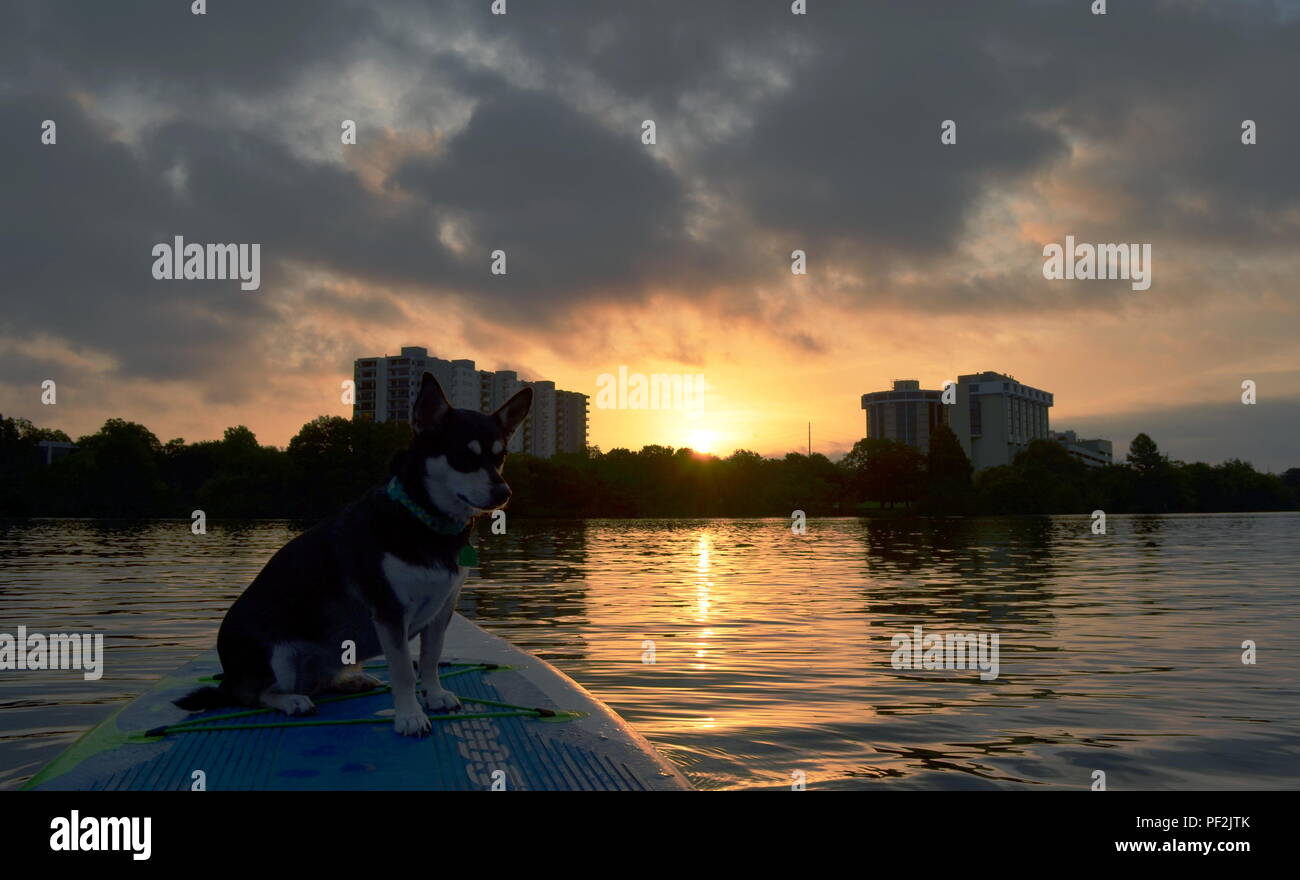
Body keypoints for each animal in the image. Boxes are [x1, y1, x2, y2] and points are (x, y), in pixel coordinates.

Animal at [178, 371, 533, 733]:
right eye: (463, 457)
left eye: (500, 457)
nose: (504, 492)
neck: (424, 521)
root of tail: (228, 677)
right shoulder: (390, 613)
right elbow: (404, 670)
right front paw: (409, 715)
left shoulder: (442, 609)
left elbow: (430, 659)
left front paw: (434, 695)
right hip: (277, 657)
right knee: (256, 695)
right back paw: (291, 701)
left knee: (317, 681)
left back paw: (351, 681)